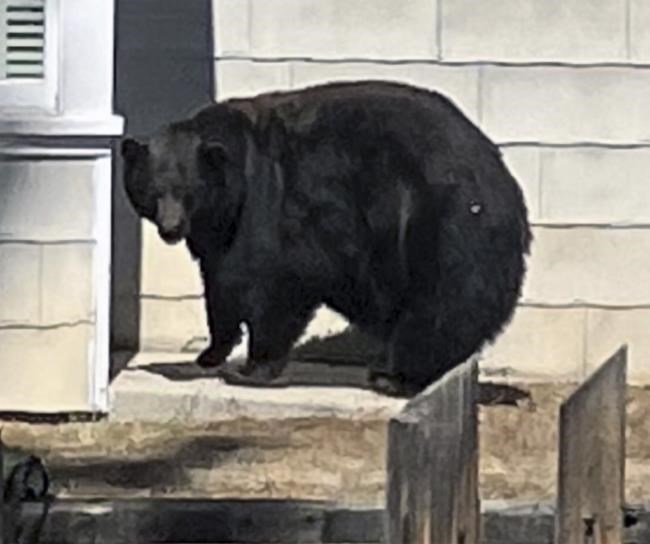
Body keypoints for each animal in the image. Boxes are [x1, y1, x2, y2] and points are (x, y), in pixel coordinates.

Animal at [121, 80, 532, 398]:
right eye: (153, 190)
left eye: (188, 191)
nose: (171, 229)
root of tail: (503, 179)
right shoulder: (219, 233)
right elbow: (221, 285)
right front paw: (210, 353)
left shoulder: (275, 206)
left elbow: (276, 283)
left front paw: (252, 367)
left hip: (442, 224)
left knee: (440, 303)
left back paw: (395, 376)